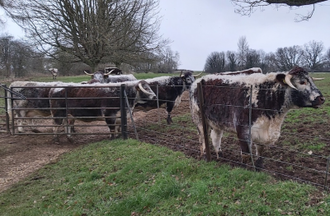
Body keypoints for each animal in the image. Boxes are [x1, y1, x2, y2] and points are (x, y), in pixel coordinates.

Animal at [189, 66, 324, 168]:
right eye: (302, 82)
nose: (321, 98)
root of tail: (199, 80)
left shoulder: (262, 133)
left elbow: (260, 154)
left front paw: (258, 168)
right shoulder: (242, 130)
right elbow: (246, 155)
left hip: (217, 122)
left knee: (216, 137)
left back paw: (220, 156)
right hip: (199, 119)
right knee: (203, 138)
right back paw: (205, 156)